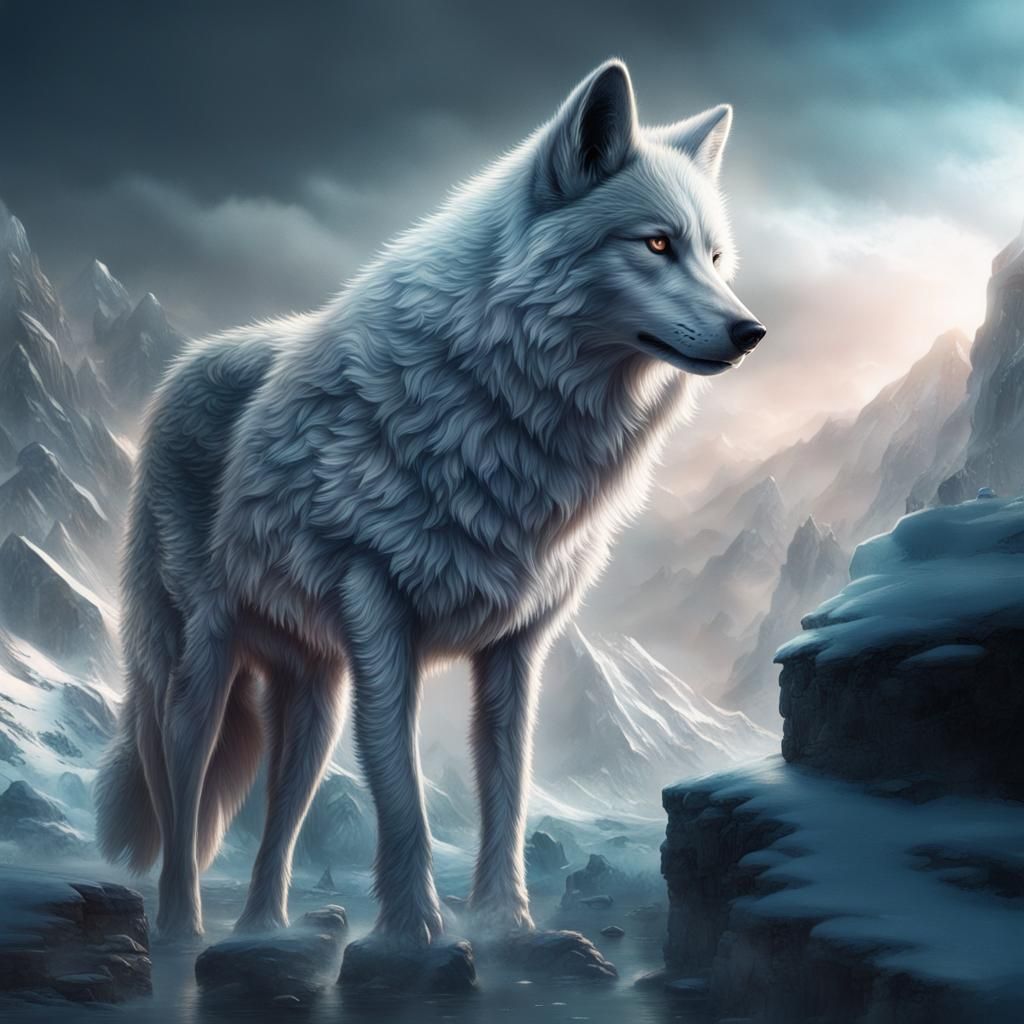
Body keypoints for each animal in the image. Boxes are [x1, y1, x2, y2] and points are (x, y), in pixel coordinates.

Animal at [95, 59, 764, 952]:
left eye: (717, 256)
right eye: (658, 244)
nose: (751, 331)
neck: (507, 414)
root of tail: (188, 365)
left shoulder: (516, 649)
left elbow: (507, 793)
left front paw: (507, 921)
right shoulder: (382, 624)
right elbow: (403, 796)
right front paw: (415, 929)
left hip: (314, 702)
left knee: (279, 822)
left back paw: (265, 928)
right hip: (199, 670)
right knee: (181, 797)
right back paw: (182, 929)